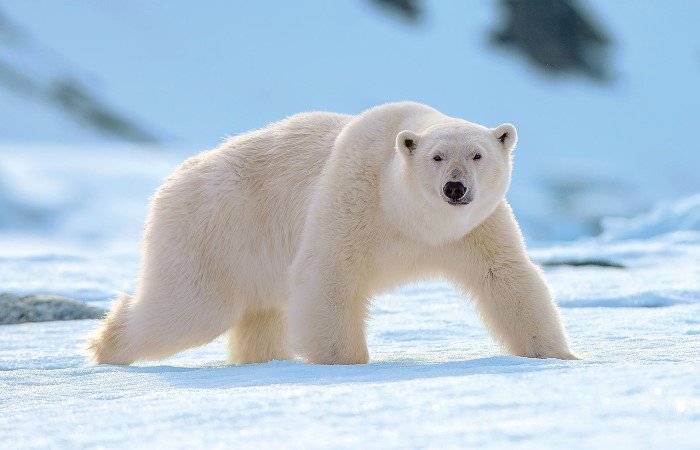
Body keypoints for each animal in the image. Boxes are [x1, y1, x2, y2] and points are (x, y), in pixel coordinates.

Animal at [87, 101, 576, 366]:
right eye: (436, 157)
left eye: (477, 154)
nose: (455, 188)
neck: (410, 219)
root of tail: (172, 181)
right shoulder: (354, 197)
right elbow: (329, 274)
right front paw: (345, 362)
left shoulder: (474, 229)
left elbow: (506, 277)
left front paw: (559, 356)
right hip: (213, 232)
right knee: (189, 308)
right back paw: (106, 346)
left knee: (260, 315)